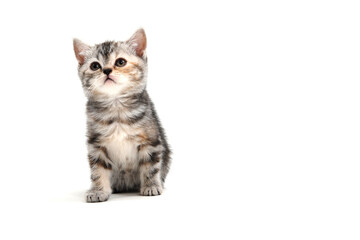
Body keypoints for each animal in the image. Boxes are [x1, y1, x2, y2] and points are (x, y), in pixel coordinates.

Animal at [73, 28, 172, 202]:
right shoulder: (96, 144)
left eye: (120, 62)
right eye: (95, 66)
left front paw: (151, 186)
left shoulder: (150, 140)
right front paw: (98, 191)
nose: (106, 70)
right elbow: (97, 170)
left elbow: (151, 166)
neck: (116, 108)